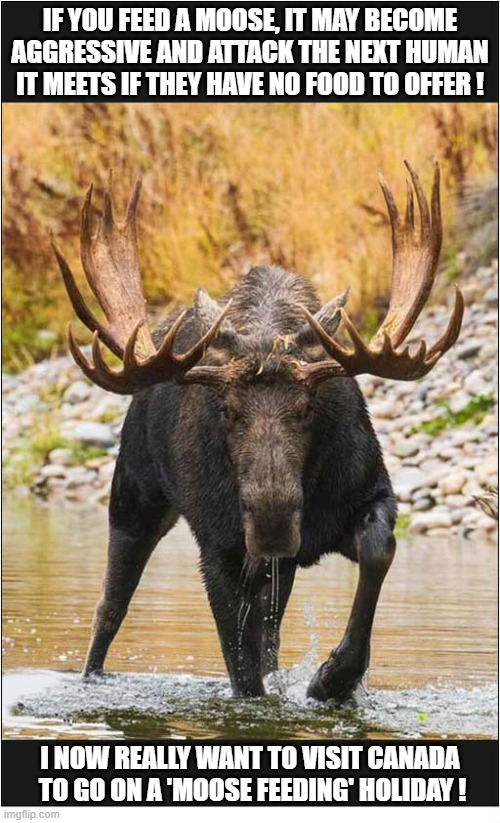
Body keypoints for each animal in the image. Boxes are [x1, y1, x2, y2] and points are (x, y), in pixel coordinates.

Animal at [52, 162, 463, 701]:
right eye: (227, 411)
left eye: (307, 408)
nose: (272, 525)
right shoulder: (218, 547)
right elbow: (242, 673)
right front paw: (323, 678)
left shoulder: (368, 493)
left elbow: (379, 550)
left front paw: (334, 677)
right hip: (134, 496)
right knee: (109, 607)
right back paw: (91, 675)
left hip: (268, 568)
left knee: (268, 633)